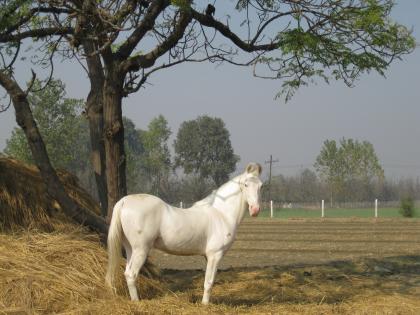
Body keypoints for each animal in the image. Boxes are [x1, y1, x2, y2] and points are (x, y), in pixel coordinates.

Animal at [106, 162, 262, 304]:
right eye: (246, 184)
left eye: (260, 186)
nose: (255, 210)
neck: (221, 214)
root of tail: (124, 201)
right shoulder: (215, 255)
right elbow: (209, 282)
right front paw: (205, 305)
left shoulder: (208, 257)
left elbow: (207, 281)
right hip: (141, 250)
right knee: (131, 274)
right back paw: (136, 302)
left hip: (130, 249)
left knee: (127, 272)